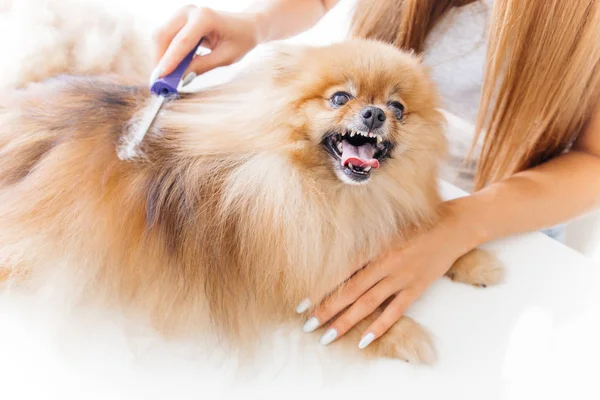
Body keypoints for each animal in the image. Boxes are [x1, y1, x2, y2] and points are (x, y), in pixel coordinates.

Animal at [0, 0, 502, 364]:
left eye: (398, 108)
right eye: (340, 97)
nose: (375, 113)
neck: (334, 193)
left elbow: (426, 228)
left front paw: (472, 259)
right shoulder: (295, 273)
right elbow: (341, 305)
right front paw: (404, 334)